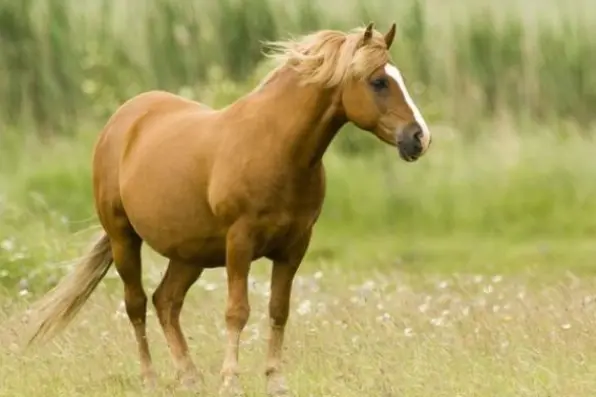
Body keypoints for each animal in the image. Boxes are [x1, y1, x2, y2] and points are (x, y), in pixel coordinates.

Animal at [24, 22, 434, 396]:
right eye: (378, 81)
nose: (419, 138)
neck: (278, 148)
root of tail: (124, 119)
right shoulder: (240, 241)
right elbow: (237, 312)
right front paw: (231, 380)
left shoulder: (294, 246)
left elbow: (279, 310)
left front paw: (275, 381)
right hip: (124, 238)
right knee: (137, 304)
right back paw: (150, 379)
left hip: (189, 253)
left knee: (166, 302)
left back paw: (189, 377)